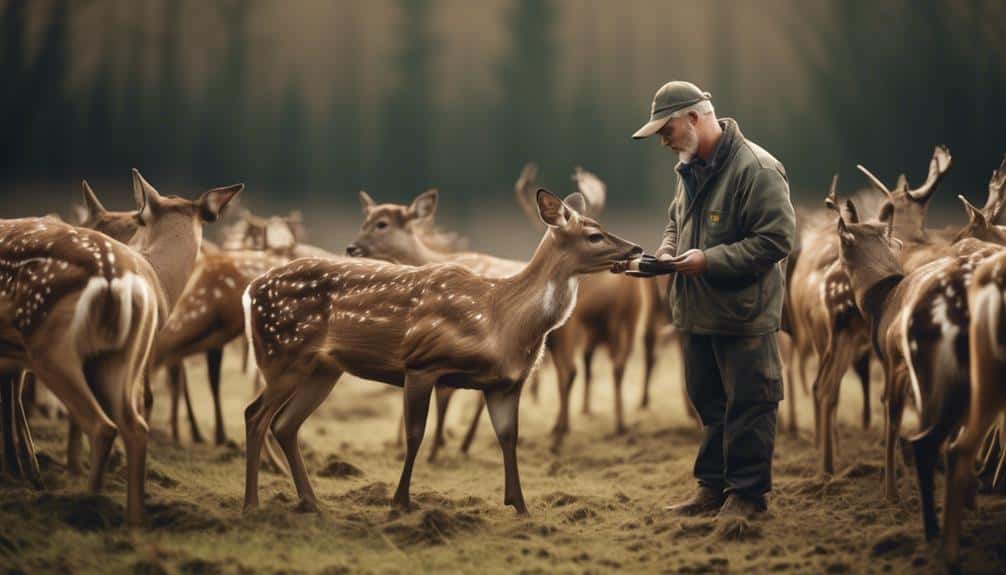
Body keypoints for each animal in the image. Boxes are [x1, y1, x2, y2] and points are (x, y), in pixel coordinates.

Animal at [0, 169, 240, 525]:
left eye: (137, 220)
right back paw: (128, 517)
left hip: (50, 347)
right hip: (111, 358)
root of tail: (115, 280)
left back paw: (81, 504)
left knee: (101, 424)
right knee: (132, 425)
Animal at [243, 189, 642, 514]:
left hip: (324, 368)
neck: (502, 320)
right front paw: (400, 501)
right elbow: (415, 433)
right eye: (593, 235)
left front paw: (520, 505)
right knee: (255, 415)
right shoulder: (422, 363)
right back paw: (252, 504)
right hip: (281, 353)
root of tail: (251, 289)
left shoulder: (506, 384)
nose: (636, 249)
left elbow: (508, 438)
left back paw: (311, 501)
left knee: (285, 424)